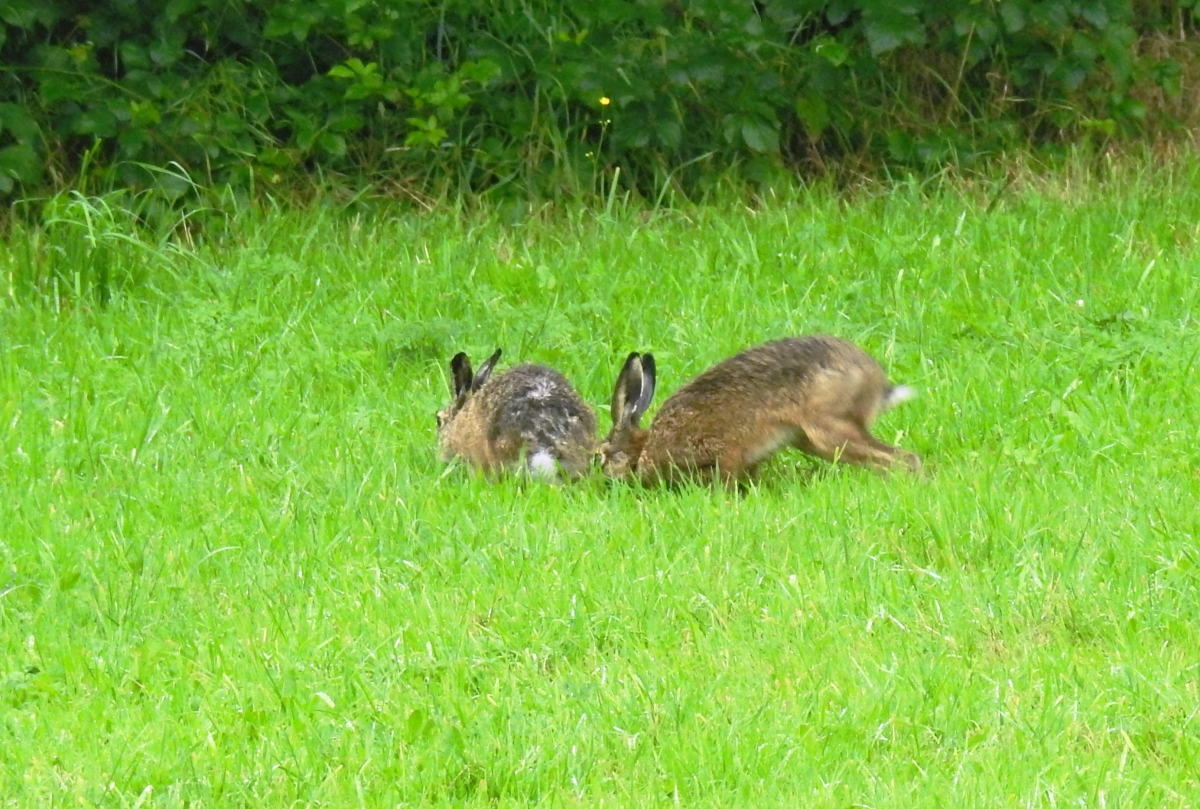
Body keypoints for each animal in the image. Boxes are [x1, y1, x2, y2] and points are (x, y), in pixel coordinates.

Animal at [598, 335, 921, 486]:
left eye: (599, 455)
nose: (600, 481)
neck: (644, 448)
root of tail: (876, 382)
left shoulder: (723, 452)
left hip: (829, 429)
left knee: (904, 459)